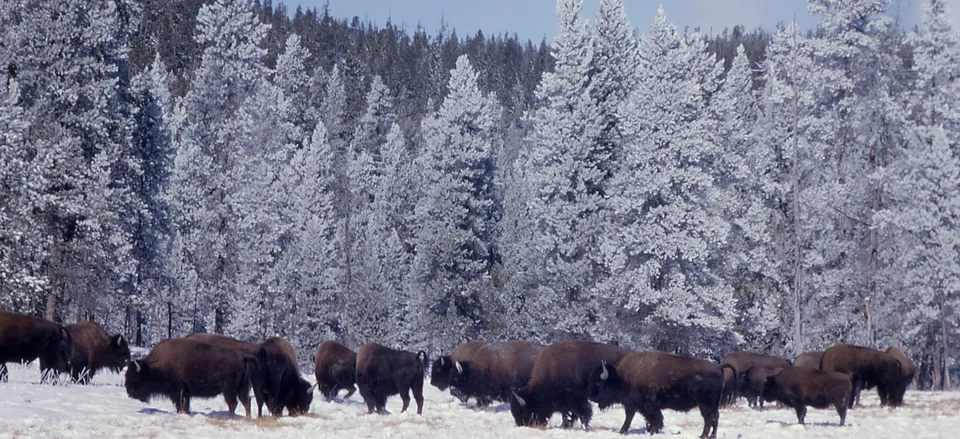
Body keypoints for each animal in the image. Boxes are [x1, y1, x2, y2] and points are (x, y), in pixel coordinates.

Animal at [125, 338, 256, 418]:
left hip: (228, 388)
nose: (129, 392)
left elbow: (181, 405)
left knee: (233, 403)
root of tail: (242, 356)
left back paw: (227, 418)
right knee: (246, 401)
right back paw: (247, 418)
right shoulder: (185, 393)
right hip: (241, 387)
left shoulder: (178, 392)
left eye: (135, 378)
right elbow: (185, 405)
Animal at [584, 350, 736, 439]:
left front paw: (652, 432)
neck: (621, 377)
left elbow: (655, 419)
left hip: (704, 404)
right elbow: (630, 418)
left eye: (598, 382)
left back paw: (703, 436)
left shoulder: (650, 406)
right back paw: (712, 436)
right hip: (713, 404)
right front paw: (623, 431)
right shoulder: (632, 405)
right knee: (715, 417)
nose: (591, 396)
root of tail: (717, 367)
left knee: (708, 419)